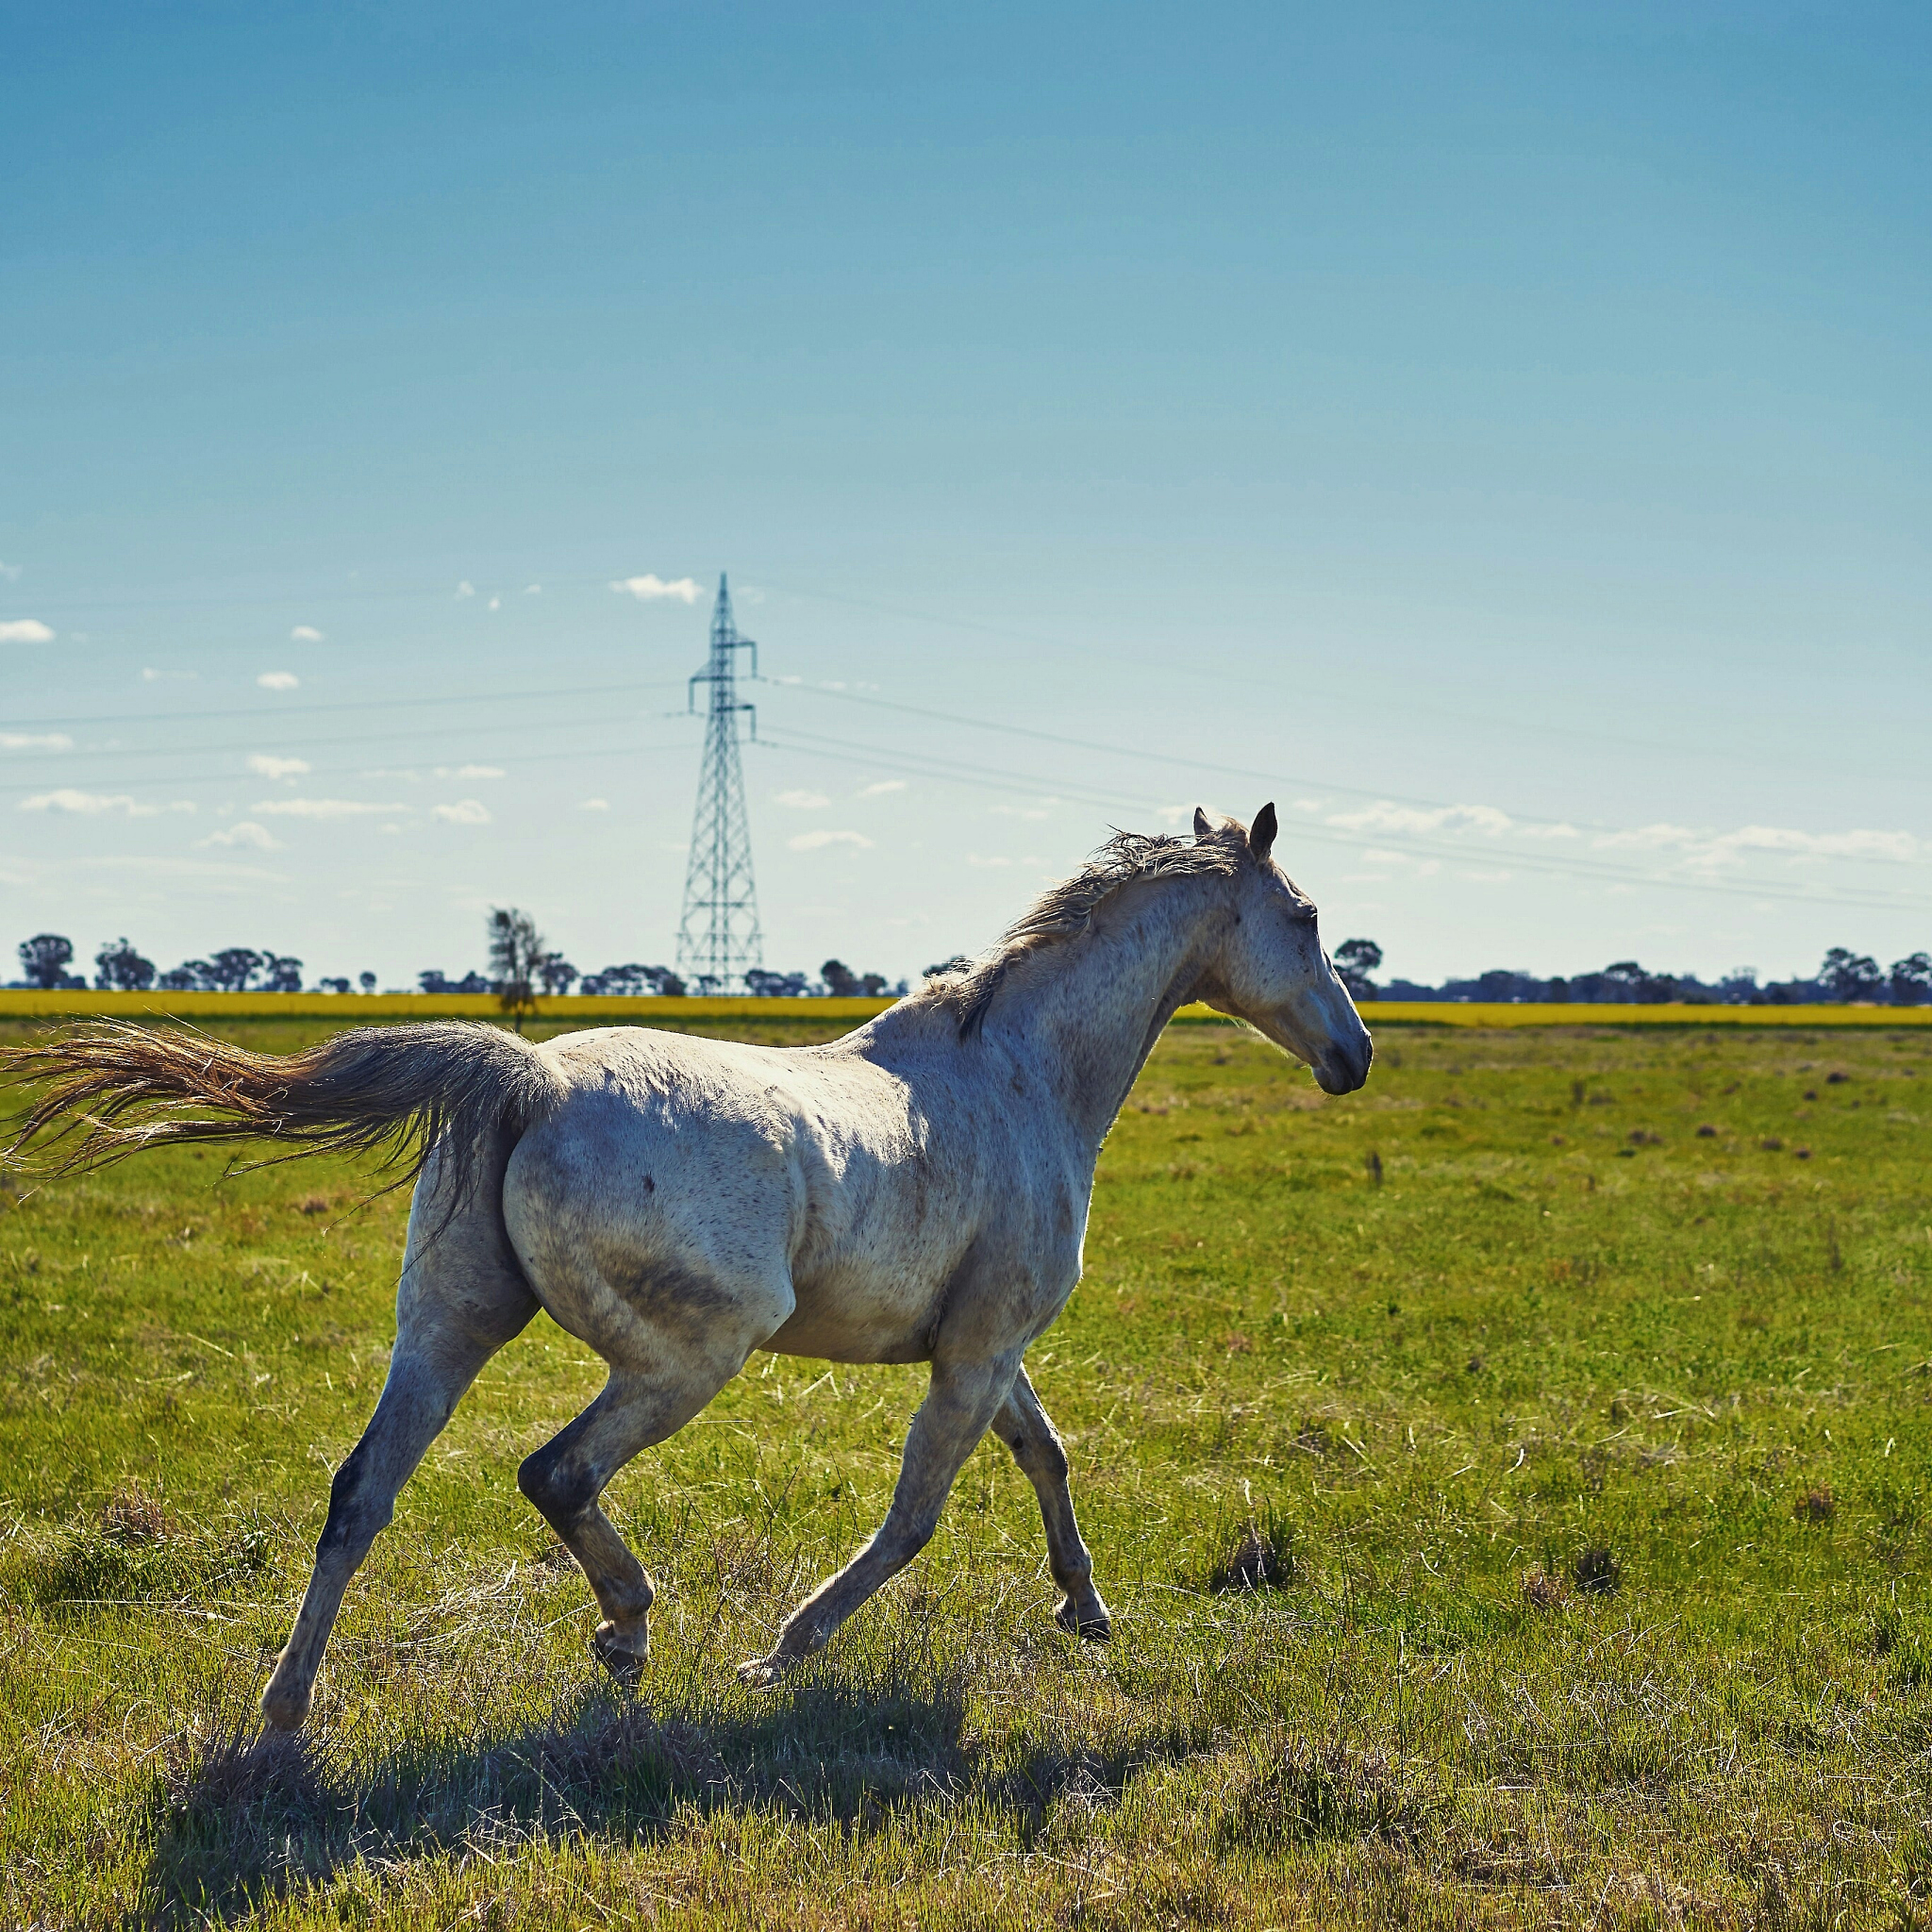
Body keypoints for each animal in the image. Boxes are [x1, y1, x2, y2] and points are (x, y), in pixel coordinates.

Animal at [5, 804, 1371, 1730]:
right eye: (1306, 921)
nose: (1352, 1059)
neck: (1023, 1078)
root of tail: (529, 1075)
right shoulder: (978, 1352)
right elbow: (915, 1514)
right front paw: (783, 1651)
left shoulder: (986, 1348)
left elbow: (1045, 1455)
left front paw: (1085, 1611)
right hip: (689, 1354)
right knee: (554, 1472)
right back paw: (626, 1632)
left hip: (448, 1328)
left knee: (360, 1495)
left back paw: (287, 1711)